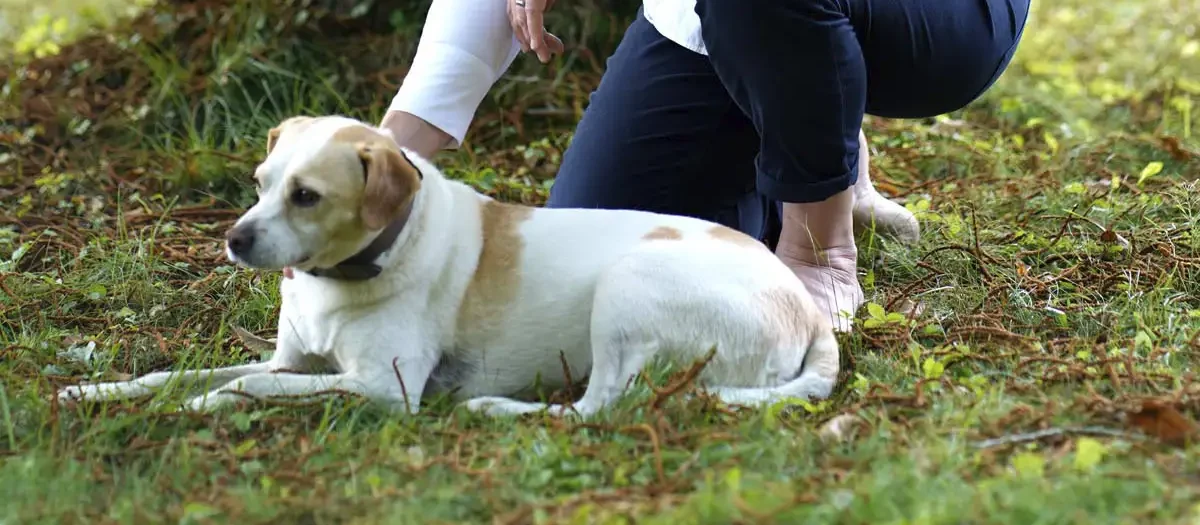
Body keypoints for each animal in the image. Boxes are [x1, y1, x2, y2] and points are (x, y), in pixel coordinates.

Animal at [58, 115, 844, 419]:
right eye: (259, 181)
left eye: (306, 195)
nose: (233, 240)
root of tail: (804, 309)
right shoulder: (294, 362)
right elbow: (176, 373)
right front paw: (97, 389)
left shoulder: (382, 387)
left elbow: (246, 384)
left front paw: (206, 405)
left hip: (629, 287)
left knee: (598, 408)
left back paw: (499, 409)